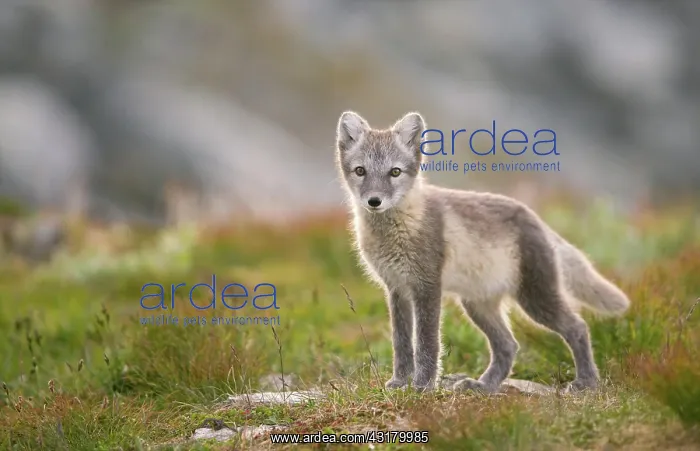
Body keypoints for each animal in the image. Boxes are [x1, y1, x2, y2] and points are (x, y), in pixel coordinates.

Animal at [335, 111, 631, 393]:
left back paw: (586, 383)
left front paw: (422, 386)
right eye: (360, 171)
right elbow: (401, 343)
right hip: (478, 305)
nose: (374, 201)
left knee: (577, 327)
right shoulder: (397, 288)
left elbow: (427, 343)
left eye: (394, 172)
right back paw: (484, 386)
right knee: (509, 345)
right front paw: (400, 382)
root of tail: (536, 219)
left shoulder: (427, 286)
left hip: (535, 298)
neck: (399, 227)